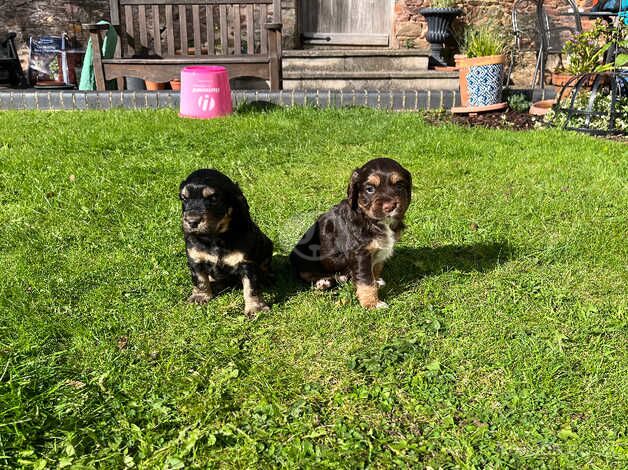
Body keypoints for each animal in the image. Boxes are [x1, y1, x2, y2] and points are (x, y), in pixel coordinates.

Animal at [179, 169, 272, 316]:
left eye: (213, 198)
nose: (192, 221)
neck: (215, 238)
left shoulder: (247, 264)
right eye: (184, 198)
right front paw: (199, 297)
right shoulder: (195, 258)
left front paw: (255, 309)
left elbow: (251, 287)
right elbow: (199, 279)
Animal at [290, 159, 412, 308]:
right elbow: (366, 280)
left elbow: (375, 269)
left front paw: (376, 282)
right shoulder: (360, 253)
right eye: (370, 189)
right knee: (304, 273)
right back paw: (323, 282)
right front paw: (372, 304)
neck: (369, 219)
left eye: (399, 186)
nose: (390, 207)